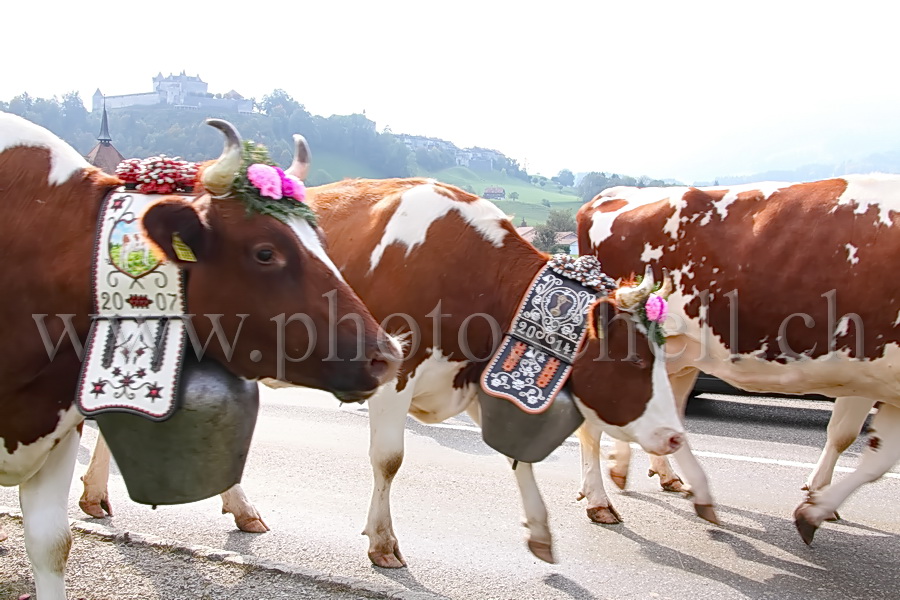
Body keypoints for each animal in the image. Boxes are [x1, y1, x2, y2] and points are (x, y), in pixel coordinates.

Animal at [580, 177, 900, 544]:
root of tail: (613, 194)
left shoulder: (873, 379)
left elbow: (861, 447)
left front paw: (817, 500)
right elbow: (863, 447)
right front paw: (815, 508)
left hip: (679, 356)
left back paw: (652, 474)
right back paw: (600, 500)